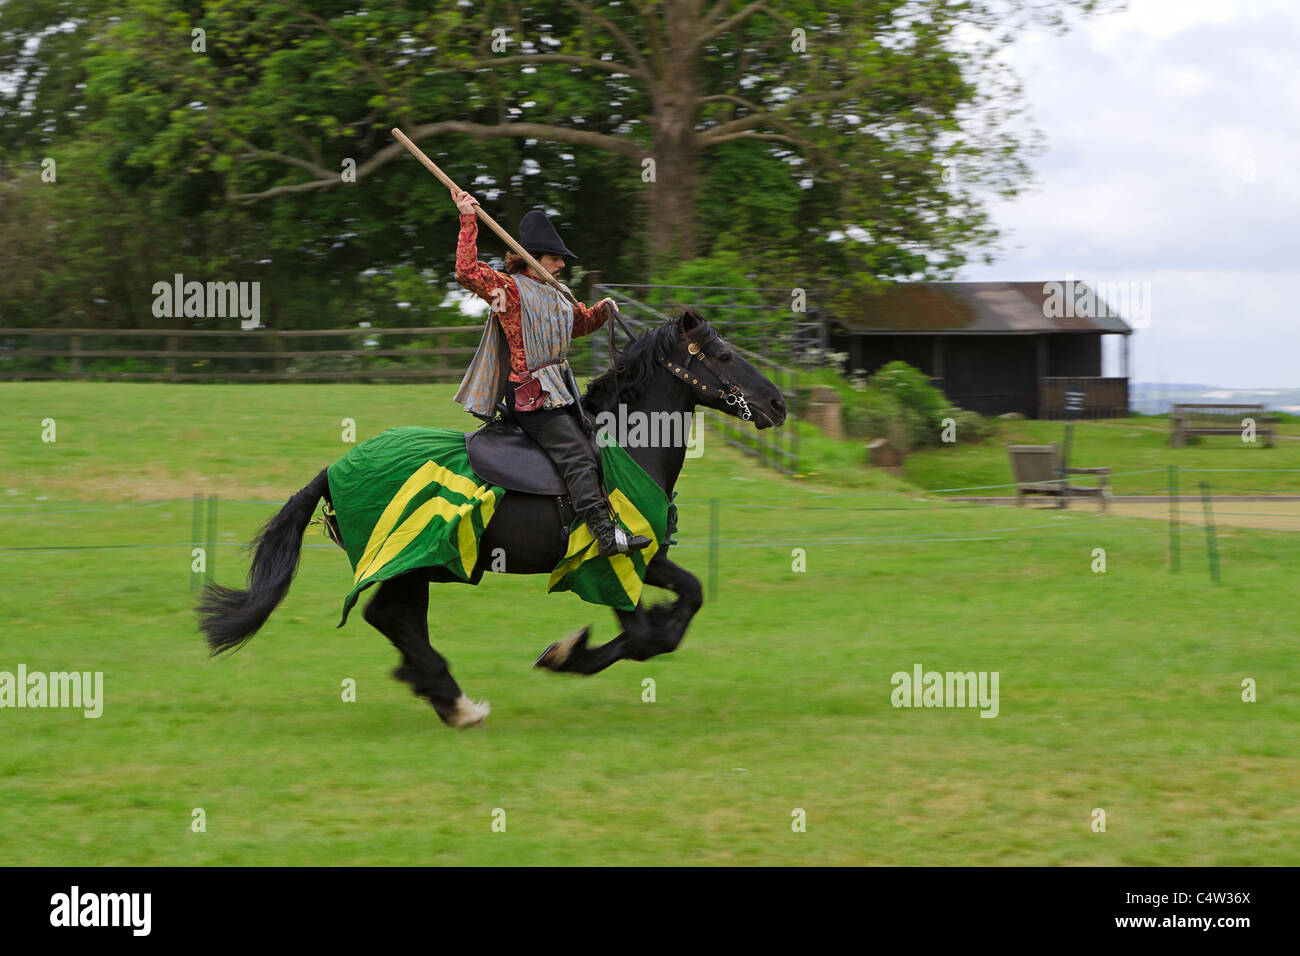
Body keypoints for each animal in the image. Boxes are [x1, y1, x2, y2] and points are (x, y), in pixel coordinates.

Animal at [191, 310, 780, 728]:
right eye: (723, 355)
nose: (778, 403)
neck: (629, 448)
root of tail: (334, 470)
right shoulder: (612, 560)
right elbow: (642, 637)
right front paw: (565, 655)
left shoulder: (645, 557)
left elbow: (687, 601)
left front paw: (639, 627)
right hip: (413, 561)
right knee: (392, 617)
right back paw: (453, 700)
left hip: (417, 567)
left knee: (393, 618)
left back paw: (442, 695)